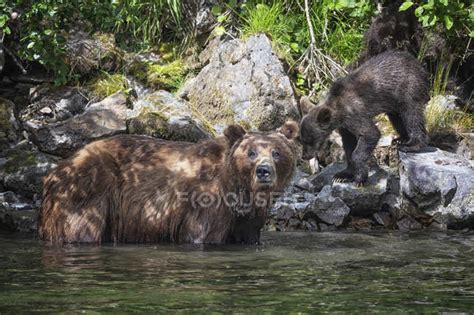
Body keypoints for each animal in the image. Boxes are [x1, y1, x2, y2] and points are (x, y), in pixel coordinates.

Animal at [39, 122, 298, 246]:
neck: (239, 188)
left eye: (276, 152)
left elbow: (248, 235)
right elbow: (202, 235)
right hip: (89, 190)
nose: (264, 171)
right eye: (251, 152)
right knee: (81, 228)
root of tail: (55, 171)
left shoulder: (248, 217)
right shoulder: (207, 201)